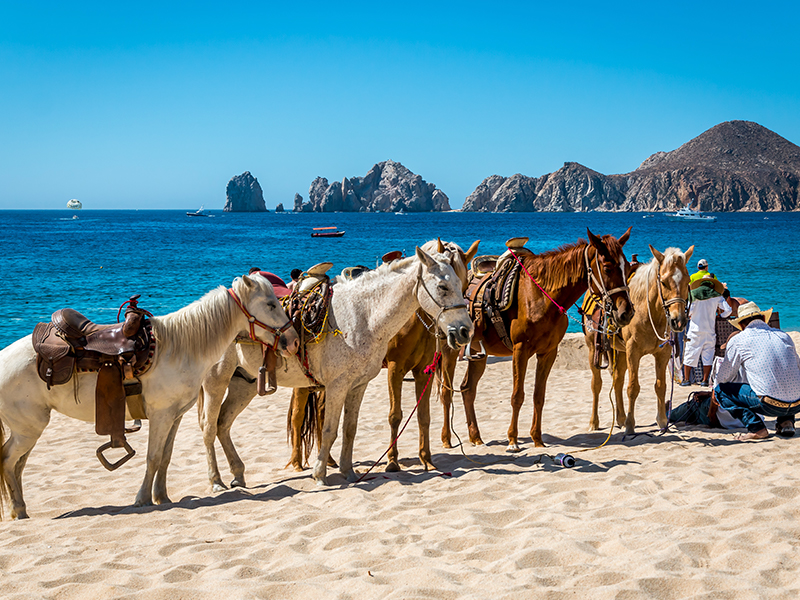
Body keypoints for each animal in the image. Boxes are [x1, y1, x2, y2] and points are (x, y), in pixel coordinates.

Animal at [0, 274, 298, 516]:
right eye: (271, 304)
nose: (294, 341)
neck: (179, 348)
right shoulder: (161, 415)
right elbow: (153, 457)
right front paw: (142, 499)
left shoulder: (175, 416)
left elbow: (165, 456)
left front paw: (162, 497)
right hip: (28, 429)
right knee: (8, 460)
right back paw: (18, 509)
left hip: (28, 430)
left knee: (17, 464)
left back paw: (20, 508)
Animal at [198, 241, 476, 490]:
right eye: (442, 286)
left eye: (462, 284)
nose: (465, 331)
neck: (363, 315)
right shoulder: (338, 385)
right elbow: (330, 429)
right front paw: (320, 474)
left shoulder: (358, 385)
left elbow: (349, 429)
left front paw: (348, 472)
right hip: (216, 382)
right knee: (209, 427)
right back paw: (216, 481)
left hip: (244, 383)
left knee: (223, 424)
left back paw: (238, 474)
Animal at [440, 229, 636, 450]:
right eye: (607, 267)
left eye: (627, 267)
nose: (626, 313)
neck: (540, 296)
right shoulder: (520, 350)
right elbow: (517, 396)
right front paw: (513, 440)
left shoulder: (548, 353)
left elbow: (538, 396)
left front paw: (537, 439)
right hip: (449, 349)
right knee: (446, 392)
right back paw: (447, 439)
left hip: (478, 353)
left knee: (467, 389)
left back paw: (475, 437)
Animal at [584, 244, 696, 436]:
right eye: (663, 282)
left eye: (687, 280)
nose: (678, 321)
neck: (650, 311)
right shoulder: (633, 352)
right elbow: (633, 388)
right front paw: (630, 425)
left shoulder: (663, 353)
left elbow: (660, 386)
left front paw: (662, 422)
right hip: (594, 349)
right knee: (596, 384)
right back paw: (594, 422)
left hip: (619, 352)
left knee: (618, 380)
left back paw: (620, 418)